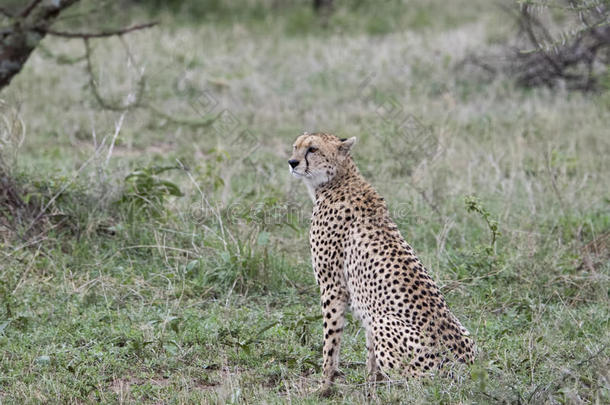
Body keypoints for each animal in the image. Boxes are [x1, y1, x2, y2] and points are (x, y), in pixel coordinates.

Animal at [288, 132, 472, 392]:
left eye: (312, 149)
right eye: (295, 146)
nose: (292, 162)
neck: (339, 179)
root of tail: (467, 369)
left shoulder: (333, 288)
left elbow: (331, 343)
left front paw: (324, 386)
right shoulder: (364, 304)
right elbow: (369, 352)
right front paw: (370, 382)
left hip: (386, 323)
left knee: (416, 384)